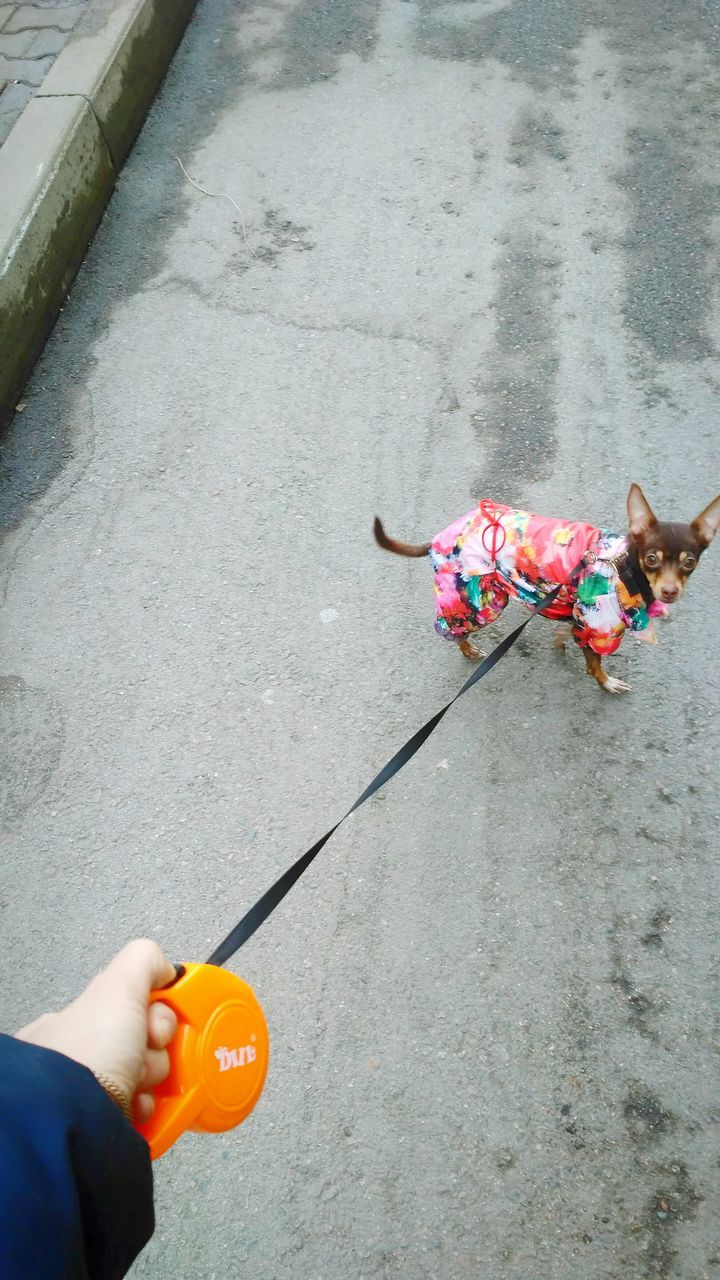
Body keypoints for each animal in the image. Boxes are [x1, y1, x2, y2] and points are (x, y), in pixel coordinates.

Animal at [371, 486, 712, 691]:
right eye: (652, 559)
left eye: (689, 562)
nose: (670, 592)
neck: (621, 565)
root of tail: (439, 538)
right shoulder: (598, 628)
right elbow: (595, 665)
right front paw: (607, 682)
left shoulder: (575, 613)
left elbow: (565, 630)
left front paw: (560, 640)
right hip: (477, 600)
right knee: (451, 626)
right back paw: (466, 647)